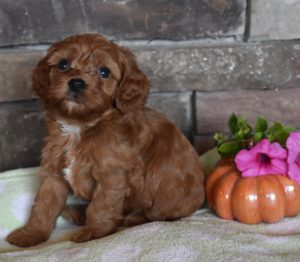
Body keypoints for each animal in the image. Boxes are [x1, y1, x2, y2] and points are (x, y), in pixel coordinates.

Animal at [6, 33, 204, 247]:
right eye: (63, 64)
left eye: (104, 72)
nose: (76, 83)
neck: (80, 127)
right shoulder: (54, 174)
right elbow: (43, 205)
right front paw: (31, 234)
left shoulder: (112, 174)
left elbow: (101, 205)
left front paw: (93, 231)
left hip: (162, 195)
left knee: (155, 215)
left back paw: (131, 218)